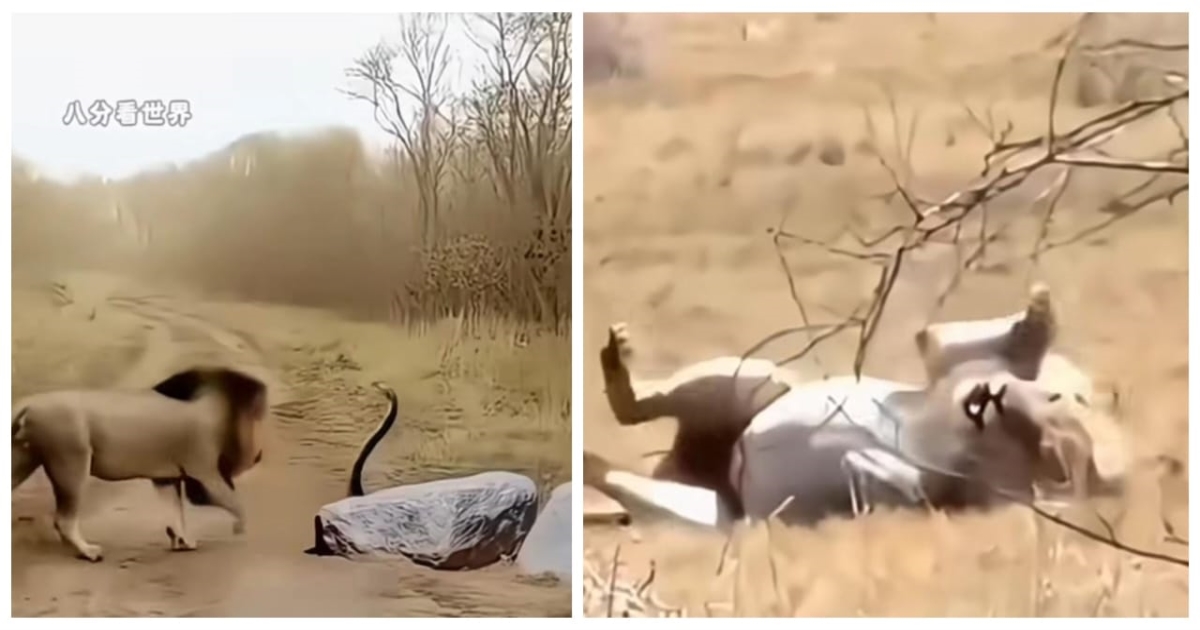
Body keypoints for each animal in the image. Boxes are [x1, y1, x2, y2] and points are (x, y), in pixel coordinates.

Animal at [11, 366, 268, 561]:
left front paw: (182, 542)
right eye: (257, 414)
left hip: (23, 460)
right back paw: (89, 552)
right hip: (71, 459)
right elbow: (235, 502)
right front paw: (240, 528)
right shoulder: (205, 471)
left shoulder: (167, 478)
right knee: (64, 520)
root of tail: (28, 404)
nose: (259, 456)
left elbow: (175, 512)